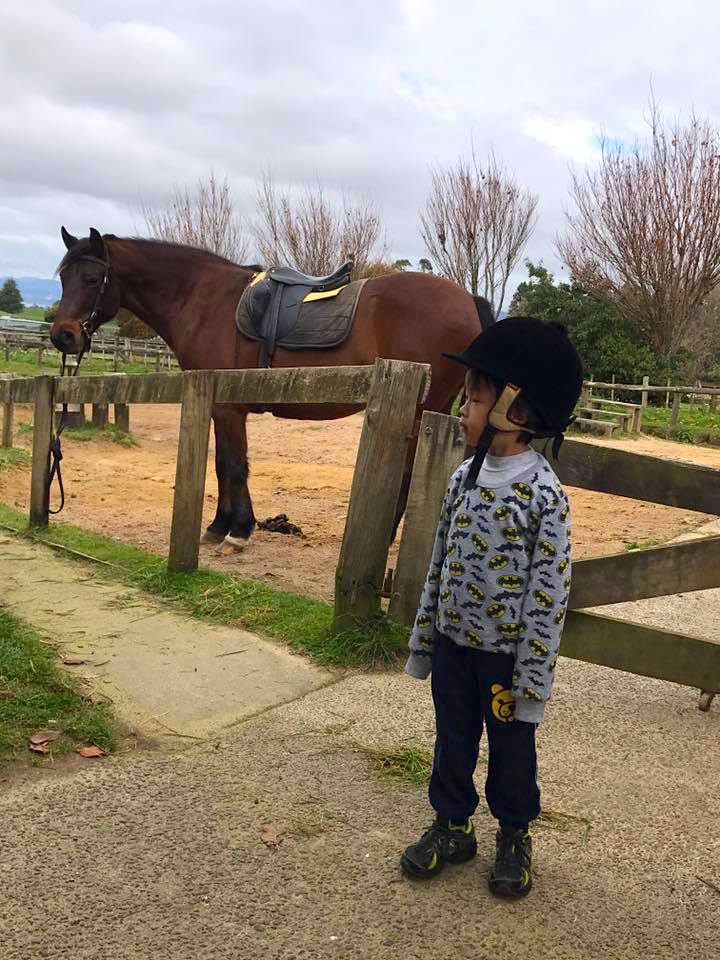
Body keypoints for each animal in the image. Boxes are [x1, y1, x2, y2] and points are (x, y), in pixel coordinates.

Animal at [50, 227, 490, 548]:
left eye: (92, 277)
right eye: (63, 277)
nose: (63, 336)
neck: (205, 300)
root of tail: (468, 299)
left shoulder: (228, 408)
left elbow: (233, 465)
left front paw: (239, 531)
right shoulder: (217, 404)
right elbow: (222, 465)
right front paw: (220, 526)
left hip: (424, 412)